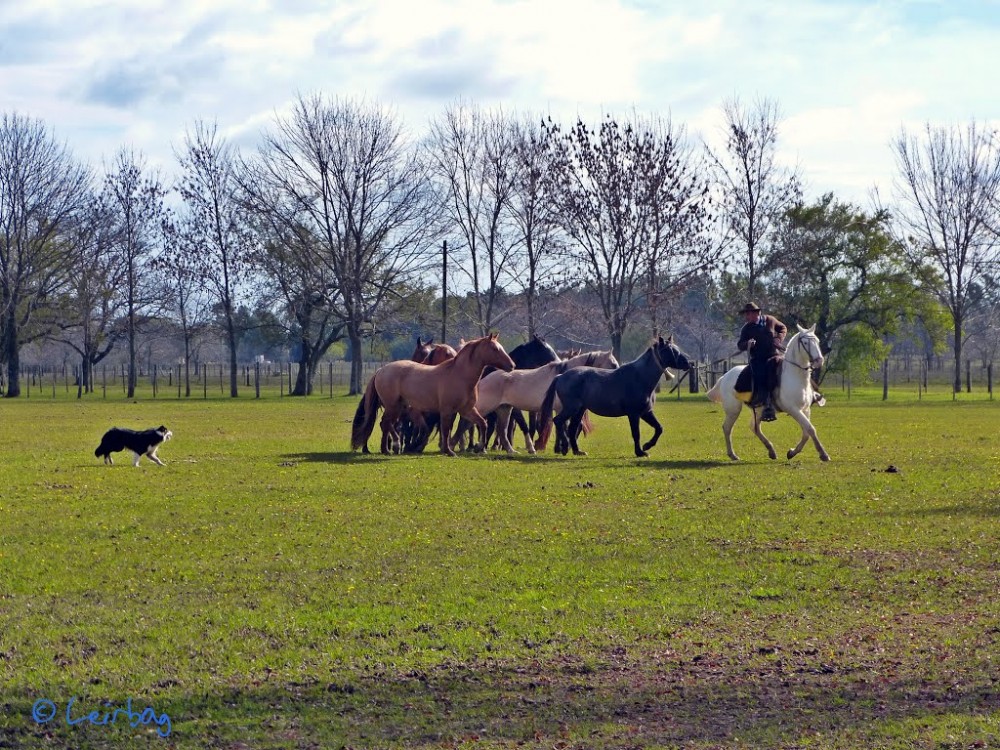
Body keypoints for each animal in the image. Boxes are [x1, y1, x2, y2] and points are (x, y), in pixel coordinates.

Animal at [352, 336, 516, 458]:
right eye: (495, 349)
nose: (512, 365)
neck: (459, 375)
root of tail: (381, 370)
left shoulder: (466, 410)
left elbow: (482, 424)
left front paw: (479, 447)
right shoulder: (446, 411)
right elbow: (445, 430)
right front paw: (448, 451)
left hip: (398, 407)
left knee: (385, 424)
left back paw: (389, 448)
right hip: (393, 406)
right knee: (385, 423)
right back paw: (389, 448)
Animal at [536, 336, 692, 458]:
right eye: (669, 350)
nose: (688, 363)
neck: (640, 377)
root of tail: (561, 376)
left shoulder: (646, 412)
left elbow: (659, 428)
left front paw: (647, 446)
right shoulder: (634, 414)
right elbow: (636, 433)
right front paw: (640, 452)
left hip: (579, 410)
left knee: (572, 428)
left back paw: (577, 451)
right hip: (571, 408)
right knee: (558, 421)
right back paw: (564, 448)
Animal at [708, 324, 832, 462]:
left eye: (817, 341)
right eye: (805, 342)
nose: (819, 361)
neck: (795, 376)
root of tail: (725, 376)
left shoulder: (805, 409)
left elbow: (806, 432)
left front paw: (792, 452)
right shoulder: (794, 409)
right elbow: (811, 429)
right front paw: (823, 454)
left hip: (758, 410)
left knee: (754, 427)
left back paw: (771, 451)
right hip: (733, 409)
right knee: (727, 428)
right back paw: (732, 454)